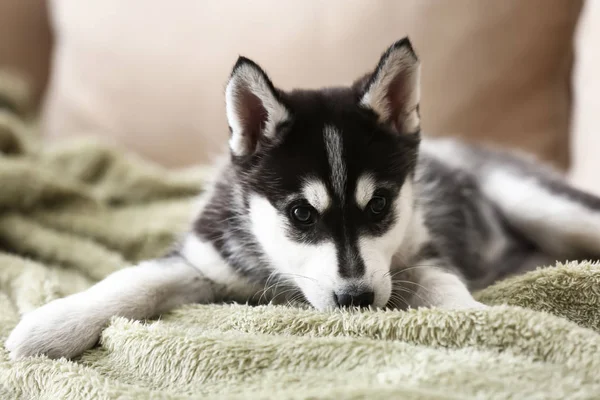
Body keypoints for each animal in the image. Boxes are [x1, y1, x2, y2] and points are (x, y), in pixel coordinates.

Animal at [5, 38, 600, 360]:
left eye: (379, 206)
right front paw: (52, 325)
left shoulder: (421, 252)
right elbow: (133, 281)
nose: (357, 299)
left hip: (539, 203)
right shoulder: (206, 255)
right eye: (300, 213)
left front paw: (487, 322)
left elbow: (446, 289)